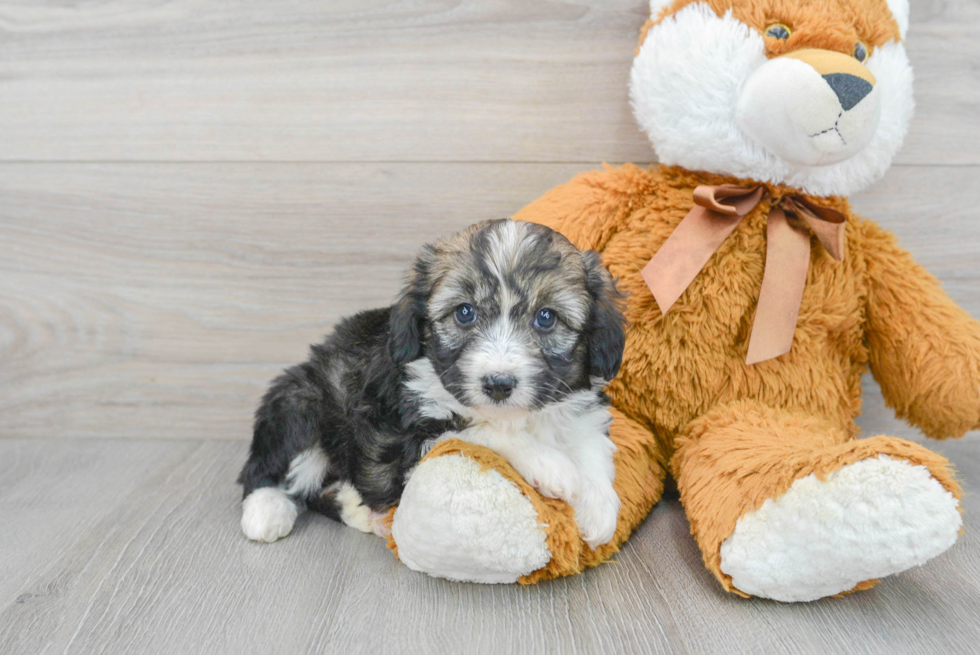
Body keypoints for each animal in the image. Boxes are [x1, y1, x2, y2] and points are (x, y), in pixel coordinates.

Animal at [235, 220, 628, 548]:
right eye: (464, 312)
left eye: (546, 318)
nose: (498, 384)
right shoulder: (402, 436)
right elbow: (479, 432)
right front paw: (551, 465)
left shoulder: (580, 409)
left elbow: (592, 445)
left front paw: (599, 509)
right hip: (300, 400)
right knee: (265, 470)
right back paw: (266, 512)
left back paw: (361, 511)